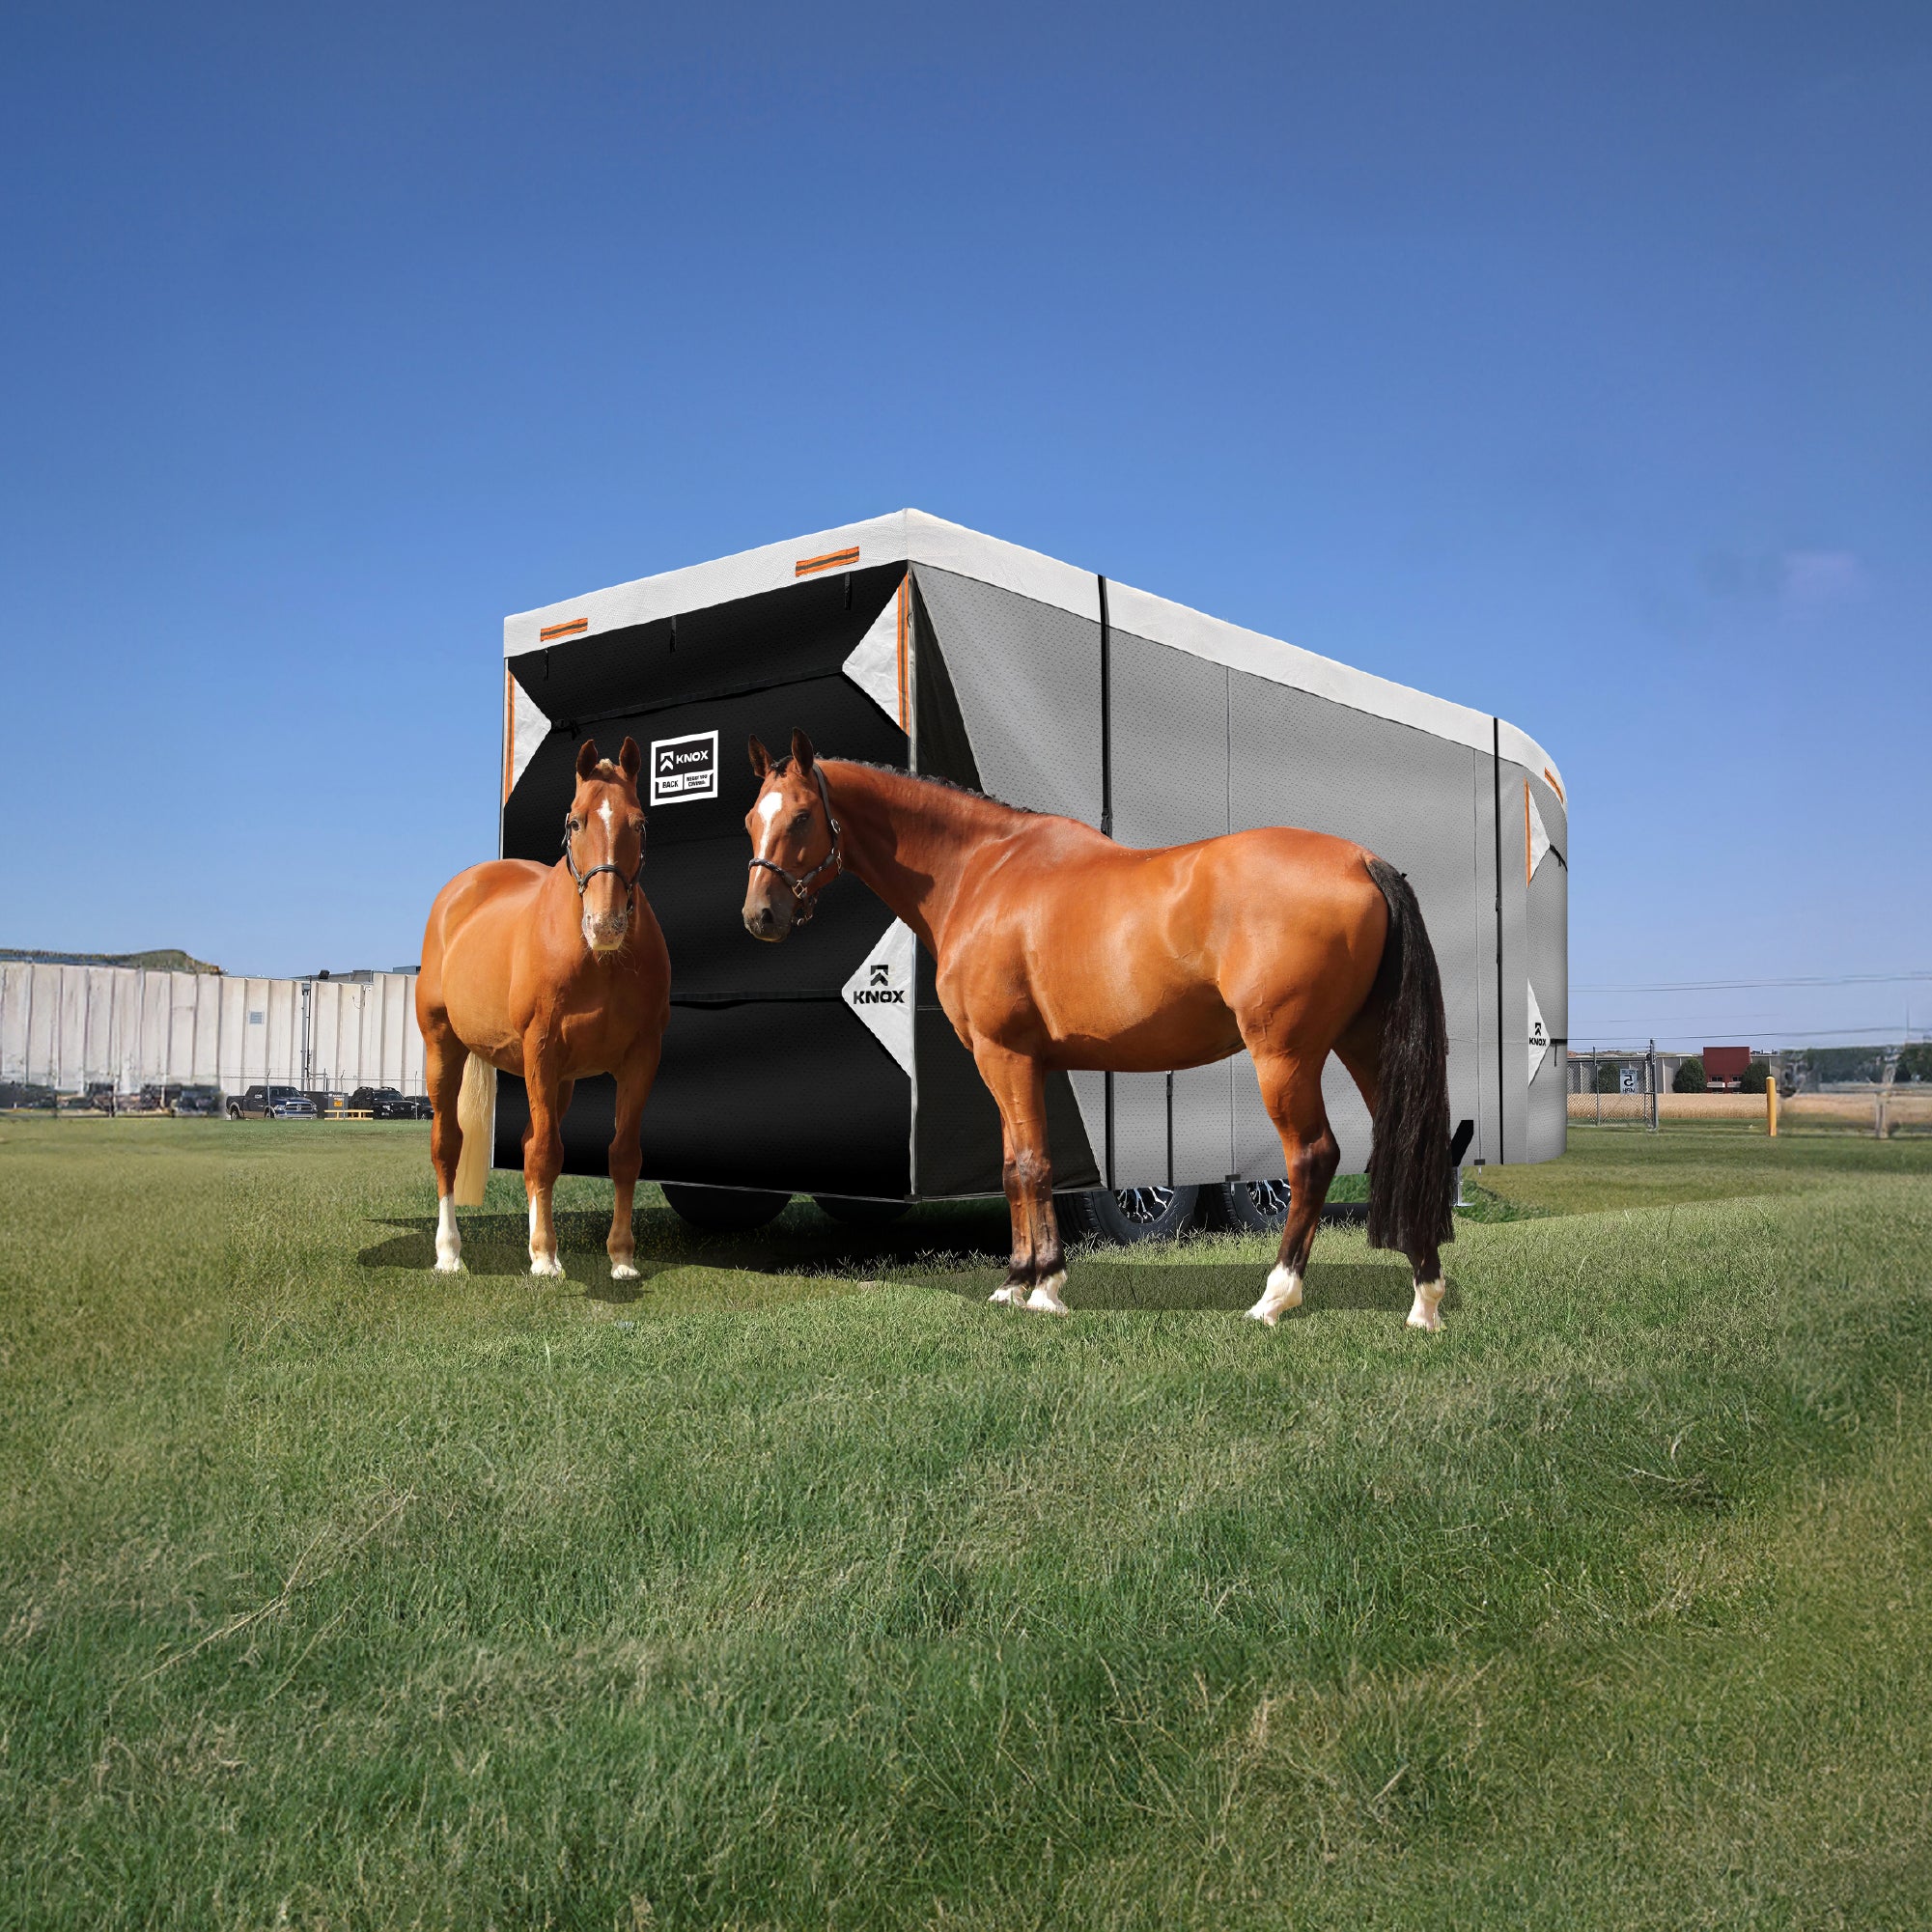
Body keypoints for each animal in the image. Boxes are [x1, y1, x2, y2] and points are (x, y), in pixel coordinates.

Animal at [415, 736, 670, 1280]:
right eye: (575, 821)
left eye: (639, 823)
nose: (605, 924)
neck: (599, 961)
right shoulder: (541, 1049)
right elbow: (548, 1154)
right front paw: (546, 1259)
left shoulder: (640, 1058)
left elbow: (622, 1155)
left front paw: (620, 1256)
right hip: (444, 1049)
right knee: (448, 1145)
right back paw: (449, 1252)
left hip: (561, 1081)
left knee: (533, 1143)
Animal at [741, 729, 1456, 1326]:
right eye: (751, 819)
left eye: (801, 816)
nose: (759, 916)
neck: (982, 873)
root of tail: (1363, 861)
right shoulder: (1019, 1062)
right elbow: (1015, 1166)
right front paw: (1016, 1280)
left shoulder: (1003, 1055)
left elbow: (1029, 1167)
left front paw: (1044, 1289)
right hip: (1364, 1045)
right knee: (1410, 1145)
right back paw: (1424, 1300)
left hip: (1283, 1055)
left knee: (1312, 1156)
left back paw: (1274, 1298)